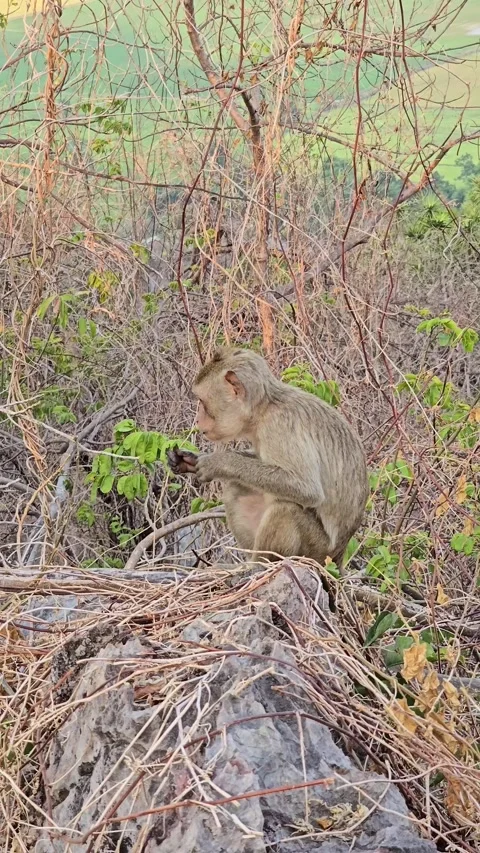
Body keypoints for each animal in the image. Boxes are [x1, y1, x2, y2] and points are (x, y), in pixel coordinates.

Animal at [167, 347, 369, 571]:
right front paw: (189, 459)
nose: (197, 420)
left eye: (202, 403)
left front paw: (218, 462)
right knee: (236, 488)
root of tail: (337, 558)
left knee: (285, 509)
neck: (264, 408)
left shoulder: (279, 426)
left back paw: (256, 566)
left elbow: (306, 489)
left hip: (317, 551)